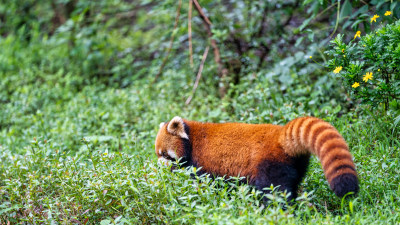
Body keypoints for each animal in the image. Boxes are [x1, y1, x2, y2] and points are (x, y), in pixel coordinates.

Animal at [154, 116, 360, 200]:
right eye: (157, 154)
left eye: (165, 154)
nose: (159, 165)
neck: (192, 137)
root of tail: (281, 136)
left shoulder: (202, 163)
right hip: (297, 163)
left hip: (269, 165)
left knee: (274, 190)